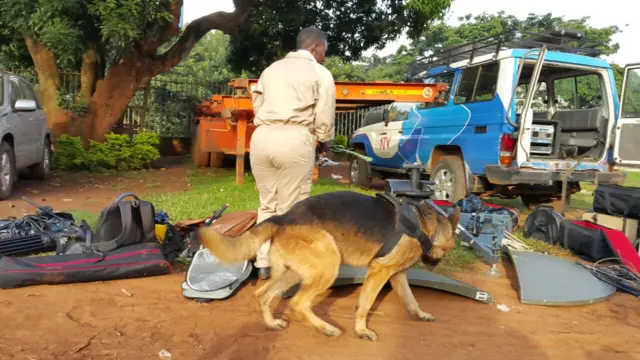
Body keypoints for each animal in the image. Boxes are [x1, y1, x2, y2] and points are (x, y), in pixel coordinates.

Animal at [199, 190, 460, 342]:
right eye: (448, 250)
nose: (435, 266)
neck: (426, 226)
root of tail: (283, 217)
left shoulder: (398, 275)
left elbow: (410, 299)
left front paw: (420, 314)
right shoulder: (380, 271)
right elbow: (365, 304)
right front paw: (361, 330)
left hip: (293, 274)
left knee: (262, 294)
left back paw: (272, 323)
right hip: (328, 266)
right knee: (298, 303)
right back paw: (326, 329)